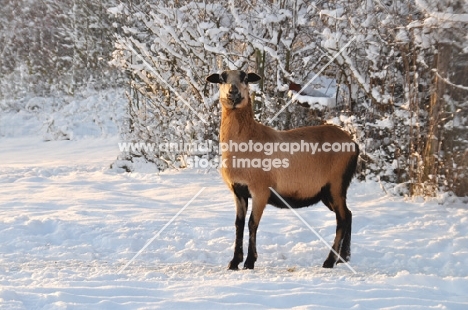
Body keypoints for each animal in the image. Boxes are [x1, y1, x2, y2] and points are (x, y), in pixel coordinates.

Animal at [206, 69, 358, 268]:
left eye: (245, 78)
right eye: (222, 78)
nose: (233, 92)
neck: (246, 139)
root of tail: (353, 144)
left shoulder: (261, 190)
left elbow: (252, 223)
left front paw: (249, 261)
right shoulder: (238, 191)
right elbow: (239, 224)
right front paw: (234, 262)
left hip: (336, 184)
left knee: (342, 219)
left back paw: (330, 261)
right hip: (328, 192)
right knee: (349, 215)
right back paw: (344, 257)